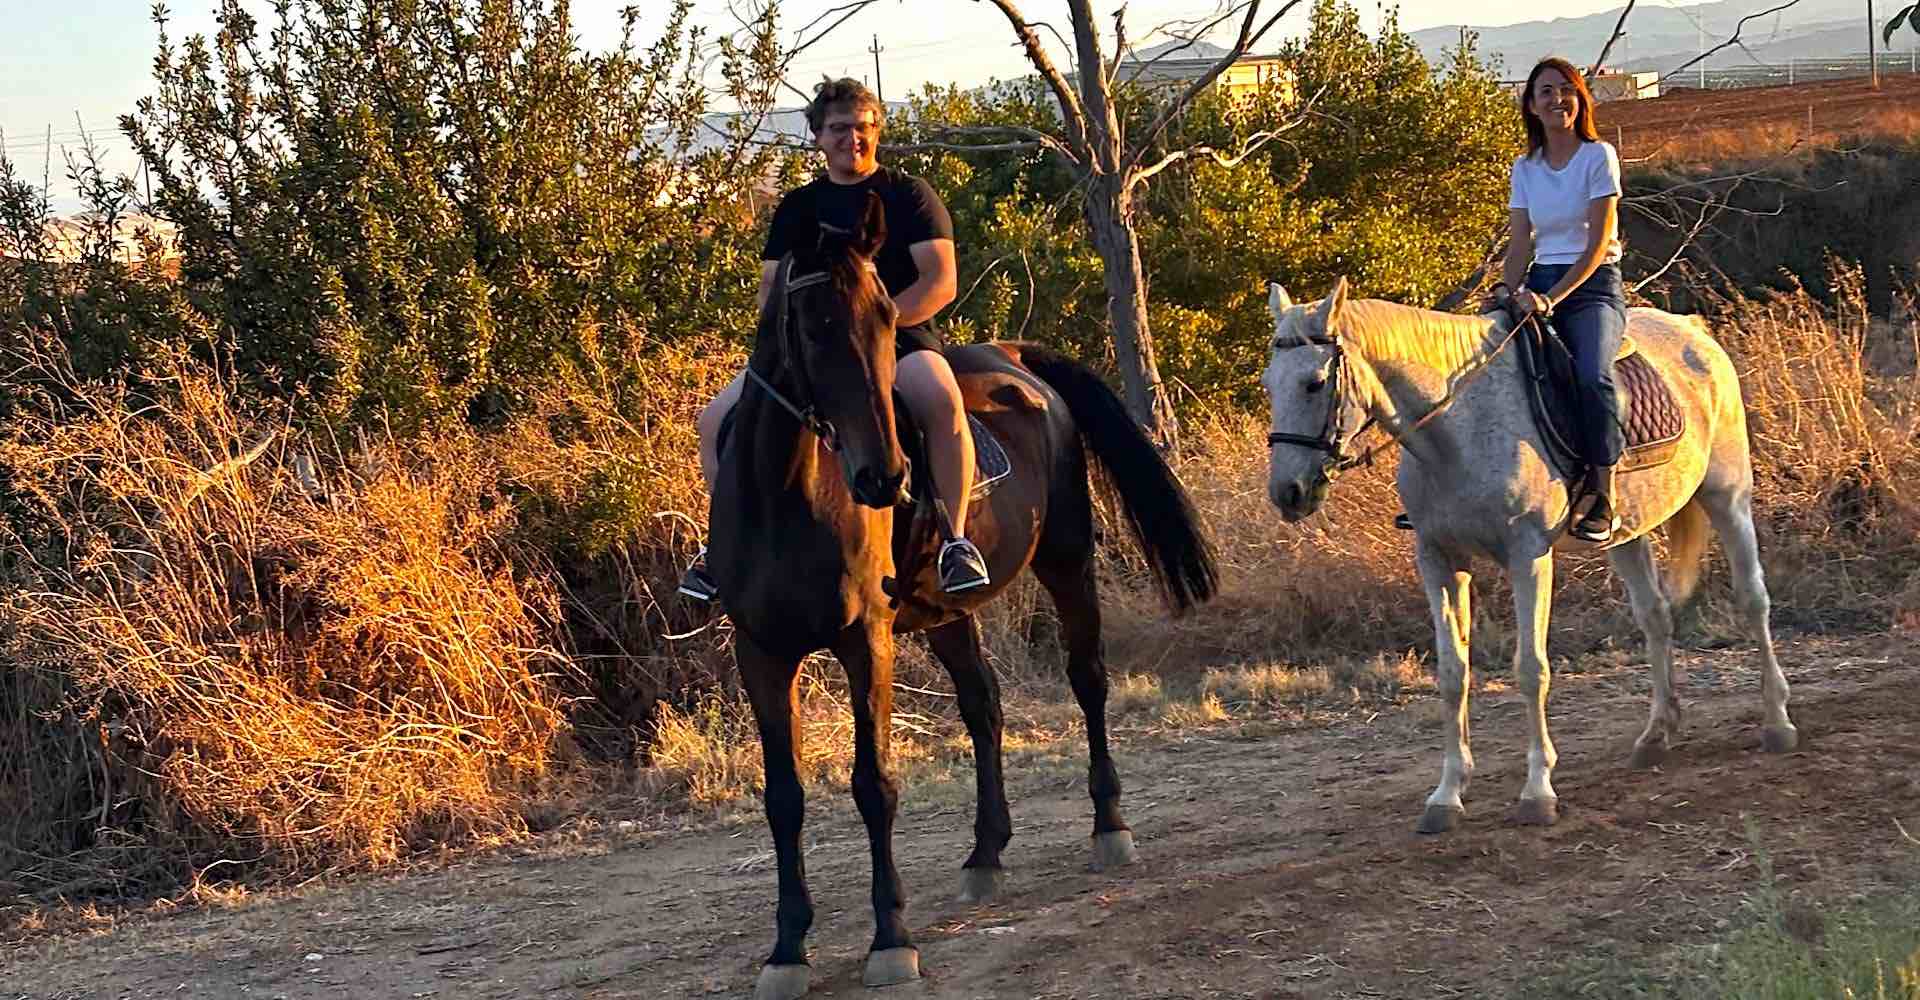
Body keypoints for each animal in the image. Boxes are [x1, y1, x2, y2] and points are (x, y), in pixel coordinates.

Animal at [707, 191, 1218, 999]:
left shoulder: (865, 642)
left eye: (888, 317)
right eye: (814, 326)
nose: (886, 478)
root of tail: (1015, 360)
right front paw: (786, 950)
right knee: (984, 704)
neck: (787, 494)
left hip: (1067, 561)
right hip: (944, 615)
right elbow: (783, 797)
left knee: (1088, 680)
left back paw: (1110, 827)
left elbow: (874, 784)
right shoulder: (762, 652)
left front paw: (892, 939)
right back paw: (985, 855)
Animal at [1258, 276, 1797, 835]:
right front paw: (1446, 796)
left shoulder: (1528, 556)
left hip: (1727, 495)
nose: (1288, 493)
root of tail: (1694, 332)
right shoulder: (1438, 559)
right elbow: (1452, 674)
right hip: (1628, 533)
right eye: (1269, 384)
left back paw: (1777, 722)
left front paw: (1538, 792)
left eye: (1315, 383)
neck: (1459, 427)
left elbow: (1531, 669)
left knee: (1753, 599)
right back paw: (1656, 735)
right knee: (1655, 617)